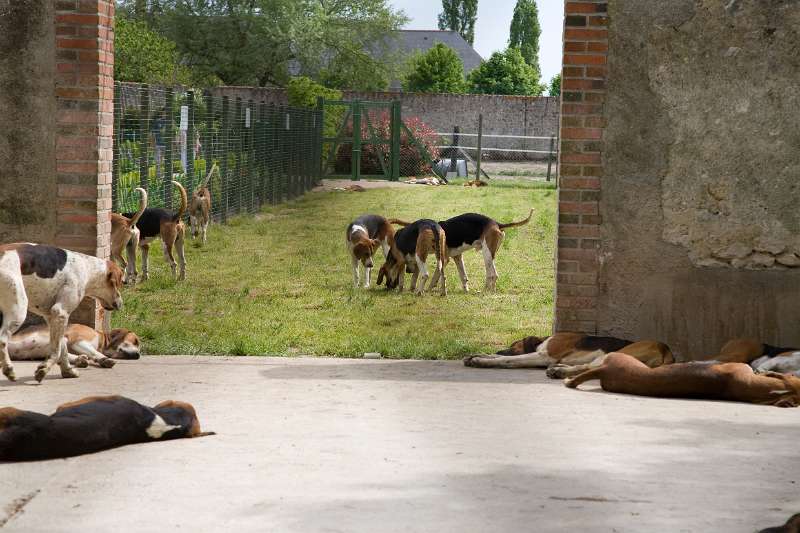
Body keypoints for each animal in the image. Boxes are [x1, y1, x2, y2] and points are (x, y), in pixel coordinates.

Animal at [0, 241, 123, 382]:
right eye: (120, 283)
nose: (121, 304)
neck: (87, 269)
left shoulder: (53, 317)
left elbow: (62, 347)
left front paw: (68, 371)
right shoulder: (61, 312)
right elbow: (57, 350)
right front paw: (45, 368)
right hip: (19, 312)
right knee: (2, 340)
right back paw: (8, 368)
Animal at [9, 322, 142, 368]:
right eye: (135, 341)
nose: (138, 355)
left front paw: (80, 360)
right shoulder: (77, 341)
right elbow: (95, 353)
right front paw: (104, 359)